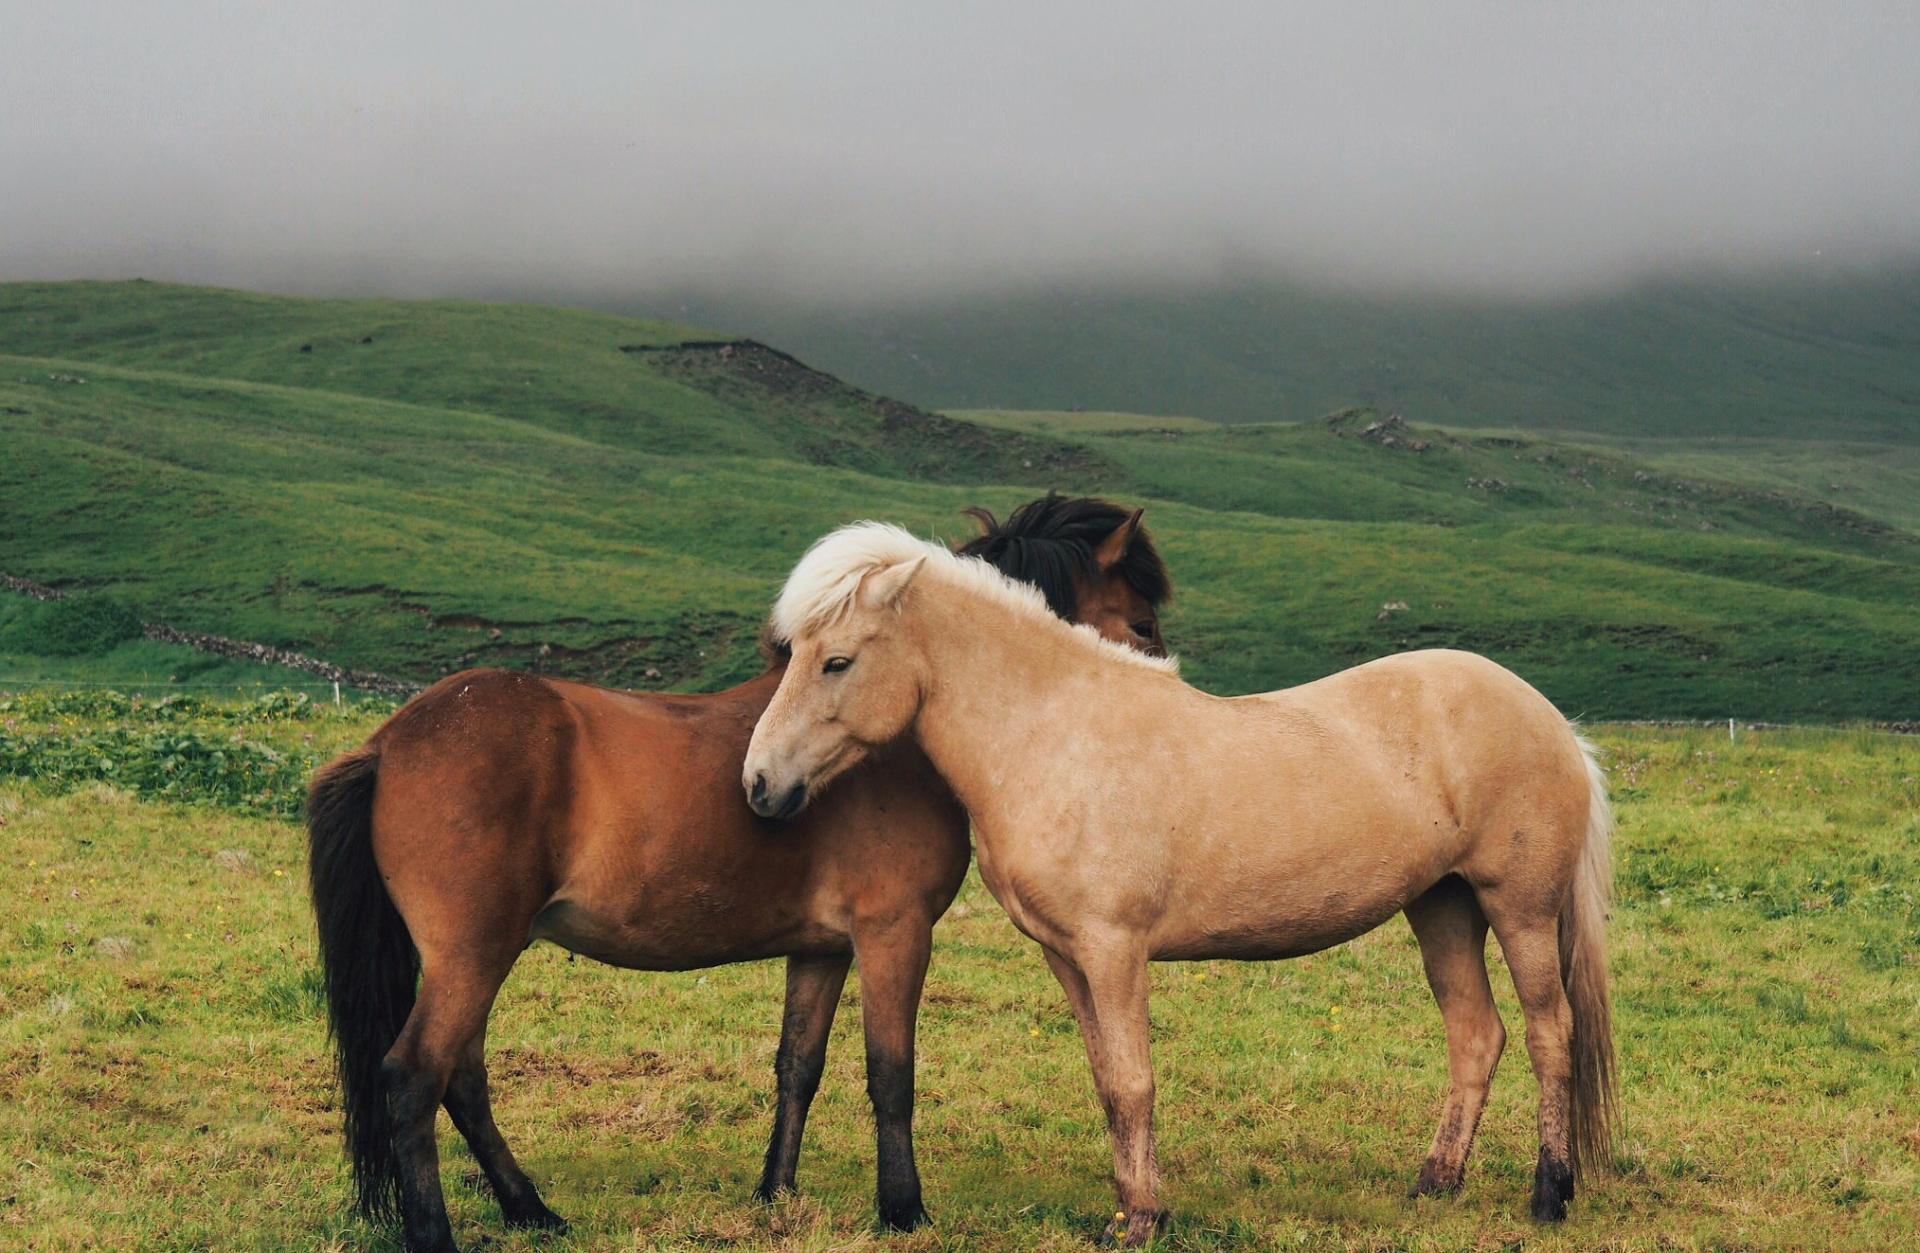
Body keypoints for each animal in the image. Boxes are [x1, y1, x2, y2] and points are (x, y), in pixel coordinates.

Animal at [305, 495, 1167, 1251]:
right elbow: (891, 1073)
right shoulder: (894, 933)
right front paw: (903, 1208)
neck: (891, 740)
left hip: (478, 957)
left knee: (463, 1078)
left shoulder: (822, 947)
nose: (1165, 709)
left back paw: (531, 1209)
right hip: (473, 955)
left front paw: (775, 1191)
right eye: (1143, 621)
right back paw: (437, 1230)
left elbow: (799, 1065)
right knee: (415, 1076)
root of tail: (389, 741)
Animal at [741, 521, 1612, 1243]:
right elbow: (1107, 1081)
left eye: (837, 660)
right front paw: (1129, 1209)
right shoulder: (1068, 955)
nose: (759, 783)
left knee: (1549, 1032)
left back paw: (1549, 1193)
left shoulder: (1115, 950)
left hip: (1519, 908)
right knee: (1477, 1035)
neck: (1053, 733)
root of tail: (1553, 721)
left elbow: (1134, 1083)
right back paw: (1435, 1184)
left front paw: (1144, 1220)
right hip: (1443, 906)